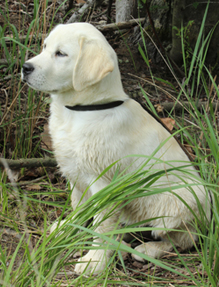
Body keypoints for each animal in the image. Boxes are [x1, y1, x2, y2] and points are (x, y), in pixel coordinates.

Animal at [21, 22, 210, 274]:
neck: (84, 109)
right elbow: (78, 208)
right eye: (44, 46)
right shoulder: (75, 174)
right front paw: (69, 228)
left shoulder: (104, 183)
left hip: (175, 203)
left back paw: (149, 249)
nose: (25, 67)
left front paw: (94, 261)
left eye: (61, 54)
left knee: (185, 239)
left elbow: (101, 227)